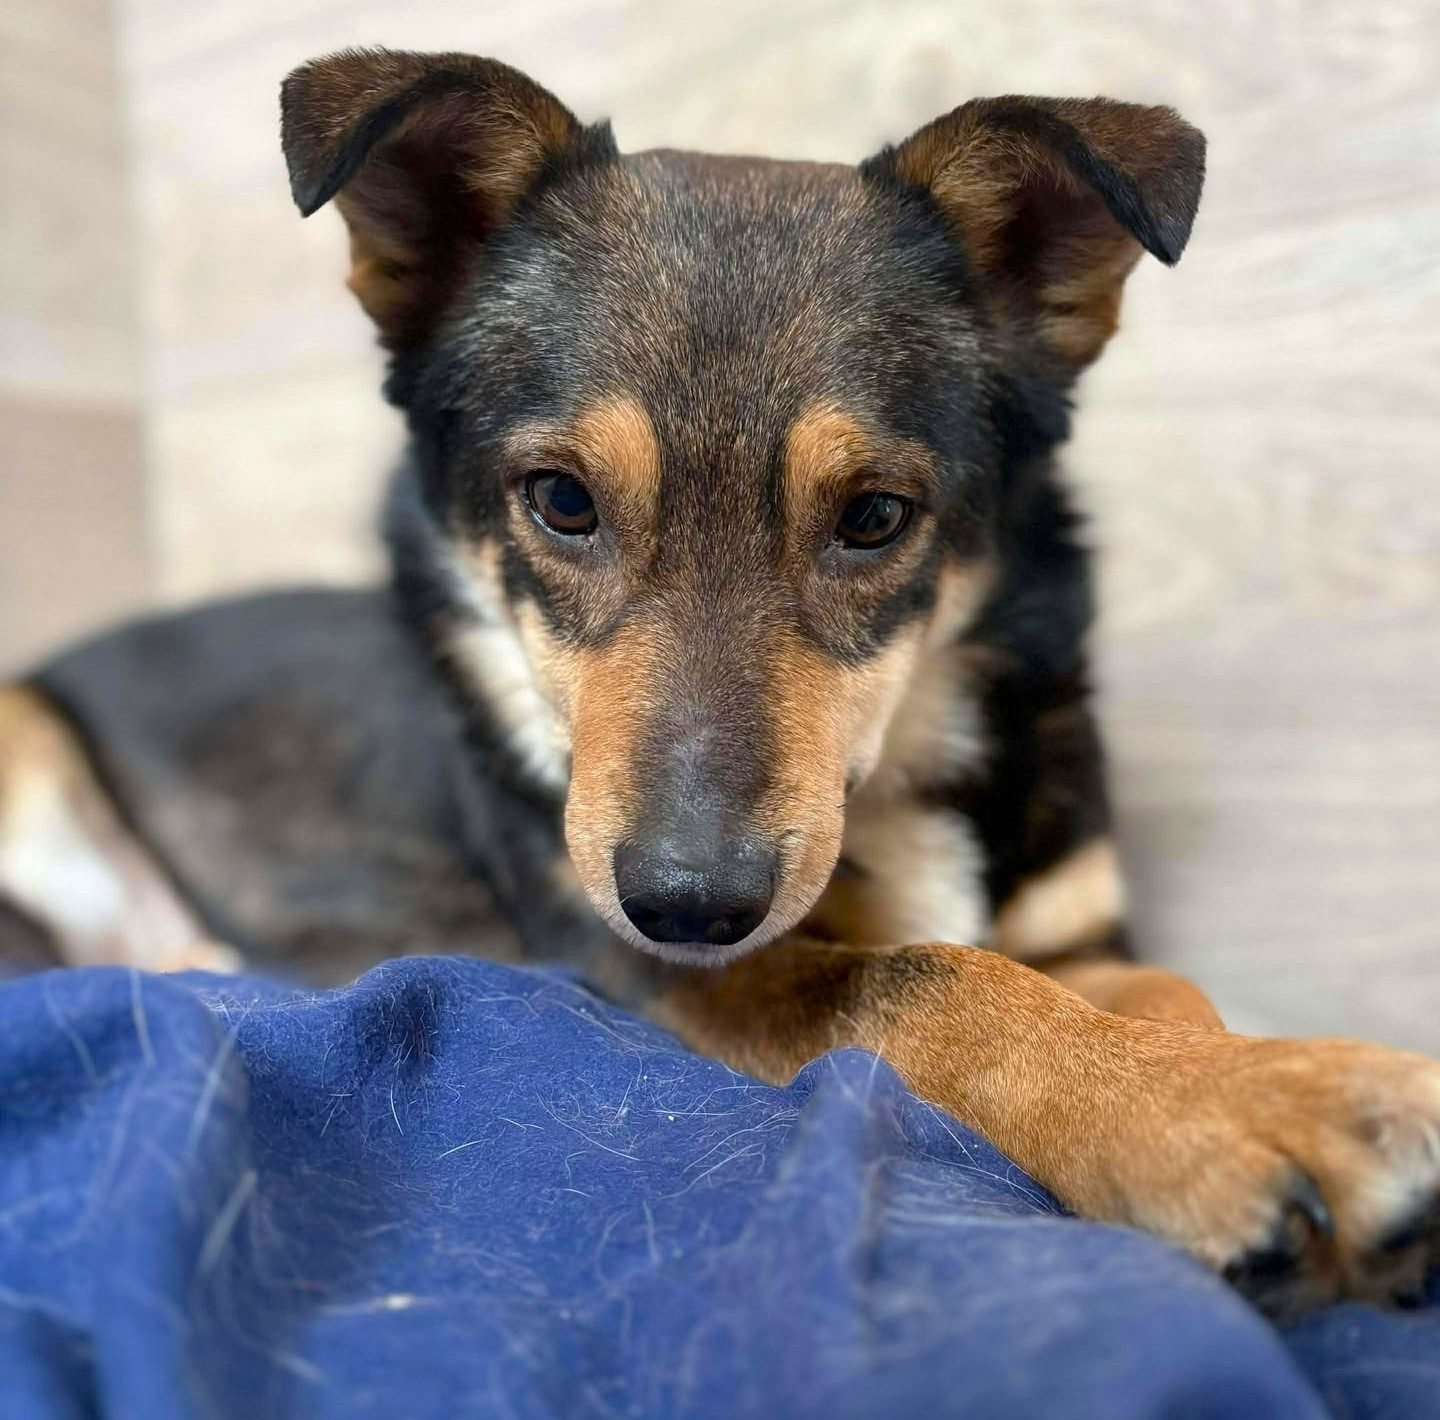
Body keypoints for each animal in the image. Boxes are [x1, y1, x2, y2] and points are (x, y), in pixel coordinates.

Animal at [2, 47, 1437, 1320]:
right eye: (562, 501)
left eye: (874, 517)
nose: (689, 904)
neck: (899, 769)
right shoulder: (667, 980)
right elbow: (930, 979)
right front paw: (1244, 1114)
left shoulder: (1080, 935)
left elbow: (1166, 990)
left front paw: (1259, 1079)